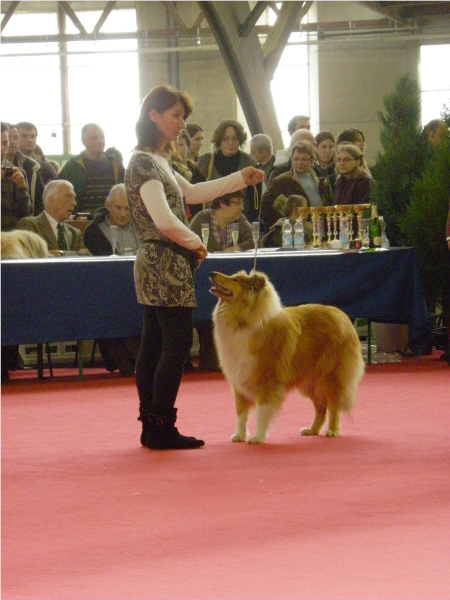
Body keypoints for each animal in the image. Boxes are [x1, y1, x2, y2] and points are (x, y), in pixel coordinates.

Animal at [211, 270, 366, 442]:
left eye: (235, 280)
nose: (212, 273)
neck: (242, 320)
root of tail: (343, 316)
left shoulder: (267, 381)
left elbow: (262, 412)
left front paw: (258, 437)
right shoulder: (239, 381)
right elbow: (241, 413)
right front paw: (239, 435)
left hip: (330, 377)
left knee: (333, 405)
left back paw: (332, 431)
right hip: (310, 384)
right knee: (321, 407)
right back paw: (311, 430)